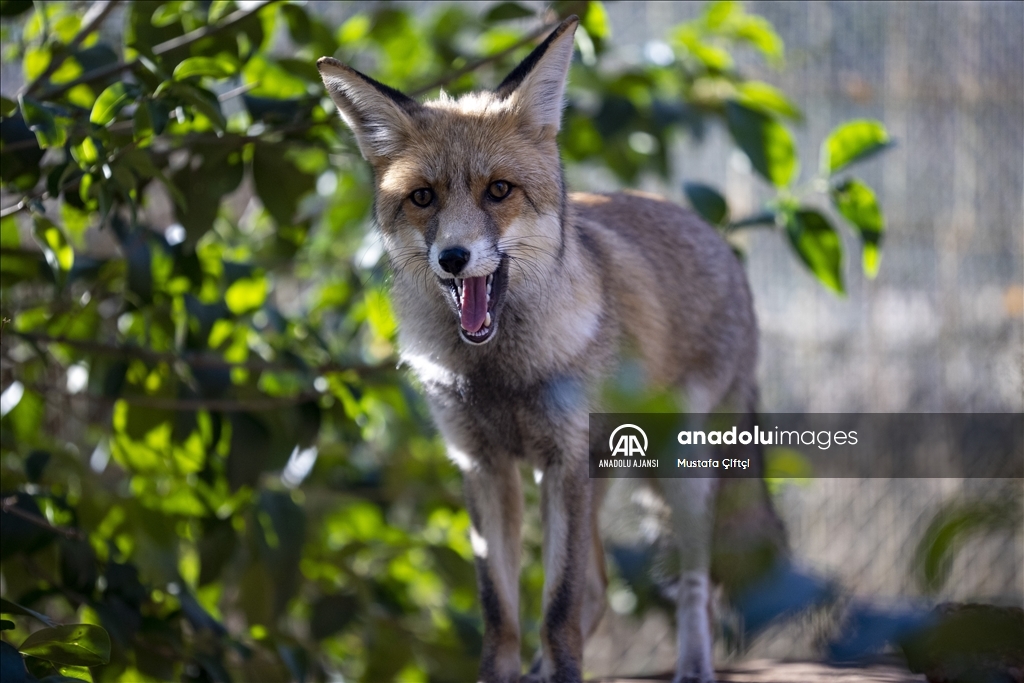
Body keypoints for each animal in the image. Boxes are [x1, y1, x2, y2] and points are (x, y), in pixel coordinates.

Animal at [315, 14, 778, 683]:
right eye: (423, 197)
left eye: (498, 190)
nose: (453, 257)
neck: (497, 373)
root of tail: (714, 234)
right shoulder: (484, 464)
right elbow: (501, 609)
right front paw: (506, 672)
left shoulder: (561, 462)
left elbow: (557, 606)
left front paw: (561, 671)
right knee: (600, 589)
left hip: (680, 471)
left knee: (697, 586)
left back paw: (694, 665)